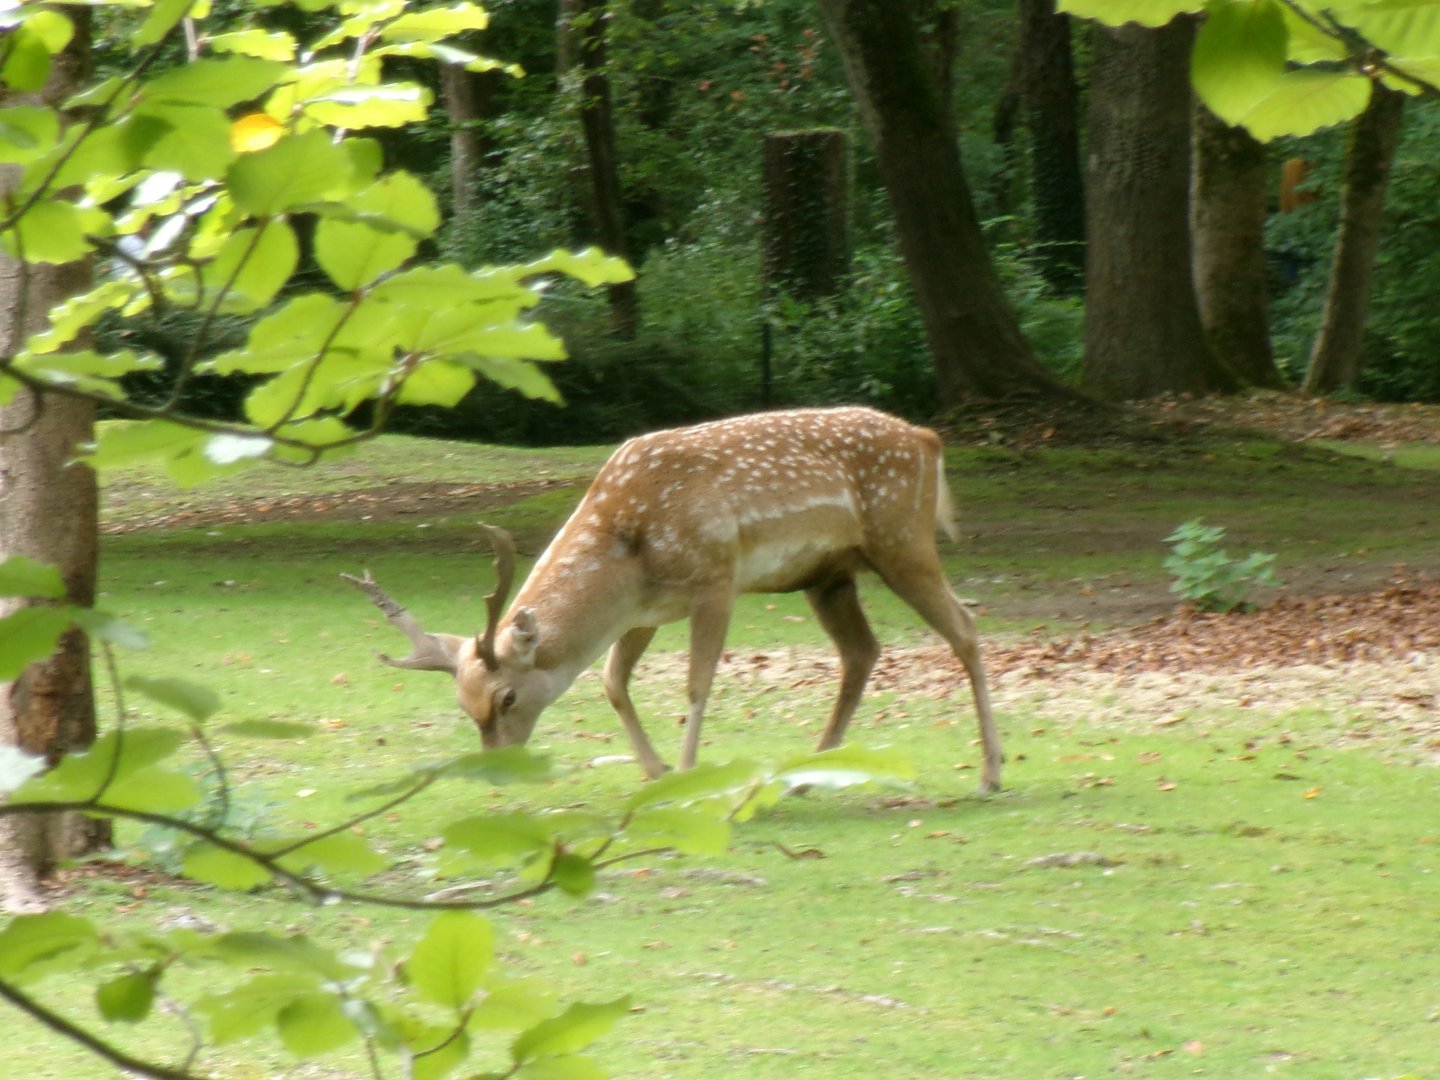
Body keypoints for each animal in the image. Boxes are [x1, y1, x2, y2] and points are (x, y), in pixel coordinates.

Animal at [343, 406, 1002, 791]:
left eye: (506, 697)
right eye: (465, 705)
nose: (496, 770)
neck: (629, 551)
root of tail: (927, 439)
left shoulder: (715, 578)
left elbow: (697, 683)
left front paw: (686, 774)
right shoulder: (645, 610)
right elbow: (612, 680)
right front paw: (655, 770)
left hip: (901, 538)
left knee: (965, 629)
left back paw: (991, 774)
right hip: (829, 574)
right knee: (861, 652)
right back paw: (810, 771)